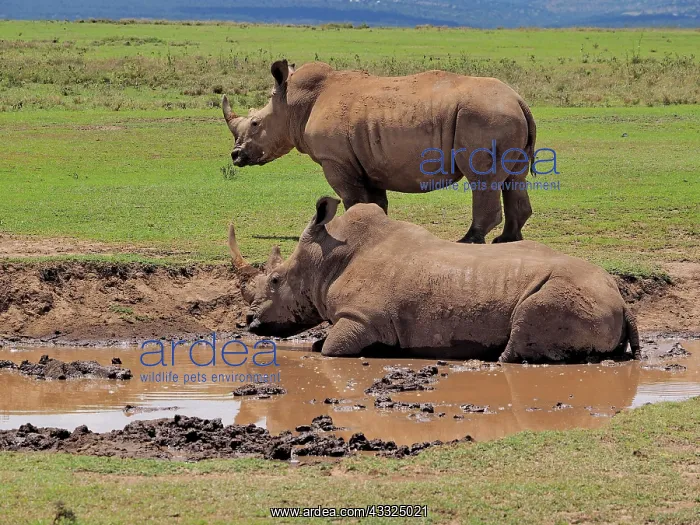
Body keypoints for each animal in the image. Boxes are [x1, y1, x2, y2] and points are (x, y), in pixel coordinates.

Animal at [222, 59, 537, 244]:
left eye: (255, 123)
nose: (236, 156)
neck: (292, 104)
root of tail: (519, 100)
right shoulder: (368, 160)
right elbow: (375, 202)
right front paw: (378, 230)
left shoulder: (335, 160)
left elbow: (352, 199)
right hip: (500, 115)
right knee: (513, 177)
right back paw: (507, 240)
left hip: (485, 116)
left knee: (481, 178)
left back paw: (468, 241)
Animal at [229, 197, 641, 363]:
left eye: (275, 280)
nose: (248, 323)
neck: (325, 258)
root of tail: (622, 301)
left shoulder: (363, 318)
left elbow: (330, 348)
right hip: (595, 294)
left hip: (566, 293)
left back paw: (494, 358)